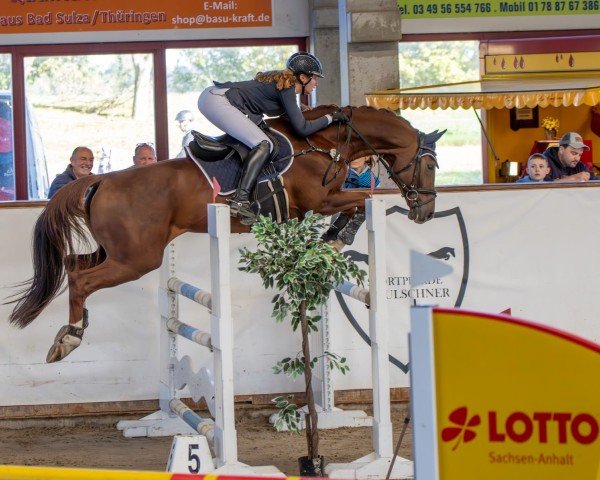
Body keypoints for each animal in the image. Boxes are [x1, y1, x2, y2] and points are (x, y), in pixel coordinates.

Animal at [7, 104, 442, 360]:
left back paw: (72, 329)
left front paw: (332, 237)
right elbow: (361, 198)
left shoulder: (319, 202)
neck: (322, 141)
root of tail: (101, 179)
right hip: (136, 258)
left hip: (117, 250)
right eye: (430, 165)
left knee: (72, 263)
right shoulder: (320, 199)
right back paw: (68, 338)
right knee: (82, 280)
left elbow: (357, 201)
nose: (425, 212)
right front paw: (338, 235)